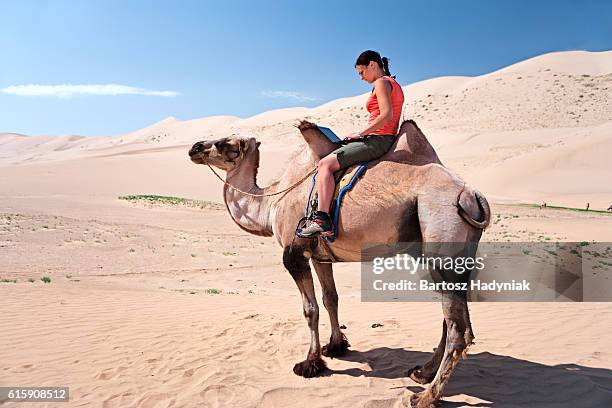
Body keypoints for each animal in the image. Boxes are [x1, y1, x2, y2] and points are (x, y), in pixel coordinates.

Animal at [189, 121, 490, 408]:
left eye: (226, 143)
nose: (194, 147)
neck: (272, 203)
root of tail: (472, 194)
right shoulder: (320, 255)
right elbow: (330, 298)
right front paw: (335, 347)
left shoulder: (294, 254)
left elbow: (310, 309)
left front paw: (310, 363)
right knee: (450, 318)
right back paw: (422, 373)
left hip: (440, 227)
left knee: (458, 329)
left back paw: (425, 397)